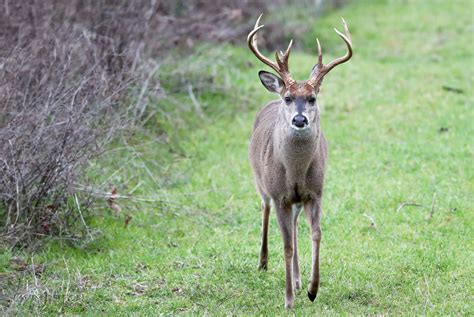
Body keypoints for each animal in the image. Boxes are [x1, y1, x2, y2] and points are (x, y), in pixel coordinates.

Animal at [248, 13, 352, 308]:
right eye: (289, 97)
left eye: (312, 98)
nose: (299, 119)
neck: (295, 171)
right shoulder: (280, 194)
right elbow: (286, 246)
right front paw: (288, 300)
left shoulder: (315, 192)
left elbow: (315, 234)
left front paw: (311, 289)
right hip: (261, 183)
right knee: (265, 209)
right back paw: (263, 263)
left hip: (294, 200)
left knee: (294, 227)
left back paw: (296, 279)